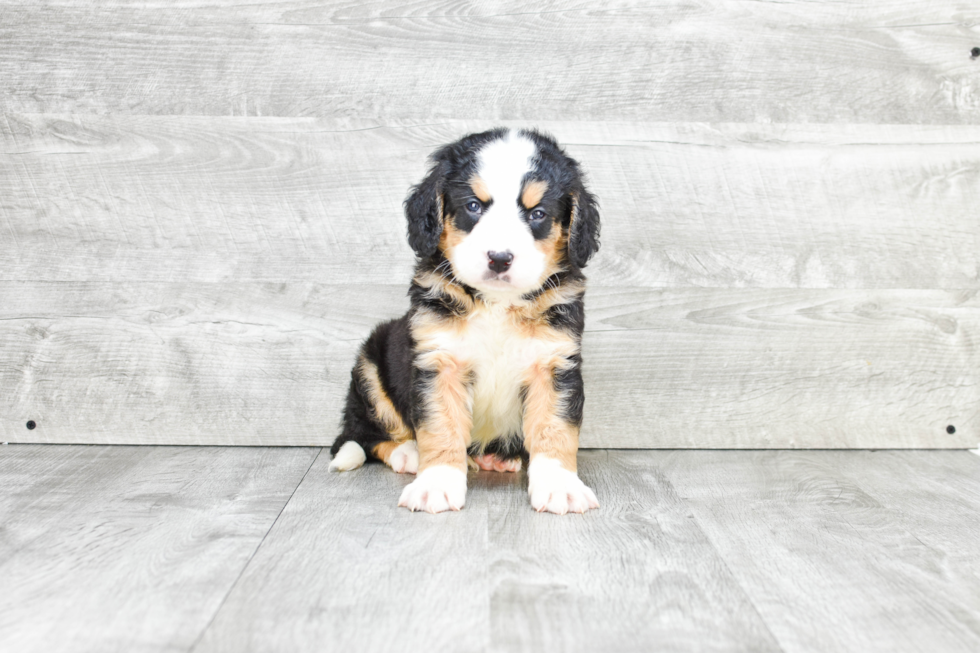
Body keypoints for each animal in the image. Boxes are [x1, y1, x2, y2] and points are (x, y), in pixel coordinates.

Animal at [330, 127, 600, 516]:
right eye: (473, 206)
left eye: (537, 213)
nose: (499, 258)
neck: (498, 304)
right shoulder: (439, 359)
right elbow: (441, 425)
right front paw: (436, 484)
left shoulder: (554, 362)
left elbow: (555, 427)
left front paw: (559, 486)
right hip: (370, 365)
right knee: (364, 435)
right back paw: (408, 453)